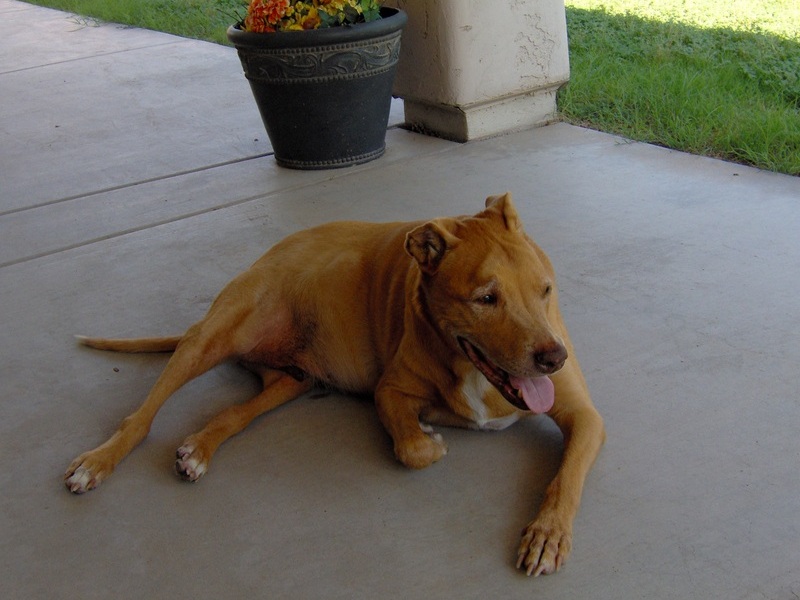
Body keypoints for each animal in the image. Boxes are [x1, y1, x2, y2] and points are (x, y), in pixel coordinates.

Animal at [67, 193, 608, 576]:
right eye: (486, 298)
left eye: (545, 289)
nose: (554, 358)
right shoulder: (389, 392)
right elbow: (411, 448)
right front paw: (430, 440)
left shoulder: (585, 415)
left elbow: (566, 476)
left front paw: (548, 534)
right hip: (207, 340)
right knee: (142, 416)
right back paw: (97, 462)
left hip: (287, 384)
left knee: (233, 414)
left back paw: (199, 447)